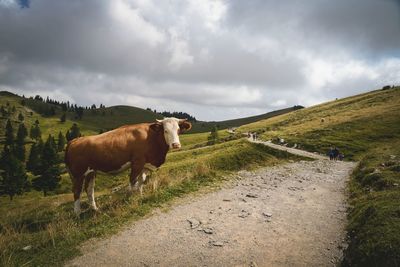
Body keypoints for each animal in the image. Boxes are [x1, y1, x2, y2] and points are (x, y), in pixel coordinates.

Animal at [64, 117, 192, 216]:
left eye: (178, 130)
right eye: (165, 130)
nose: (176, 145)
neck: (151, 137)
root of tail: (74, 141)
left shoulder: (145, 165)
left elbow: (141, 181)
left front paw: (140, 196)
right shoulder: (137, 163)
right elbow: (133, 182)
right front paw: (130, 199)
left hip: (91, 172)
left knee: (89, 189)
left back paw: (95, 209)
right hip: (78, 174)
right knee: (77, 191)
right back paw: (77, 214)